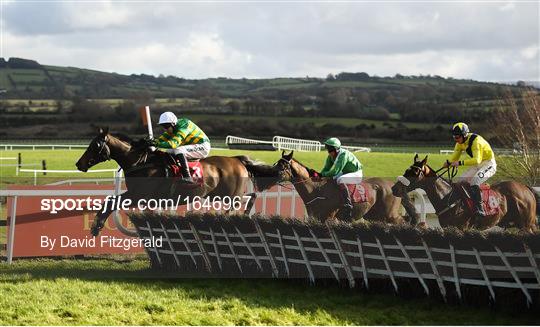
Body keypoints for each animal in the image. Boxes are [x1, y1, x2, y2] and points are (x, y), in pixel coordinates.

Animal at [76, 127, 278, 237]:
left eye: (95, 145)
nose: (79, 164)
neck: (141, 162)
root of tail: (237, 159)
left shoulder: (140, 195)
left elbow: (113, 202)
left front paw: (96, 226)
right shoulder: (136, 194)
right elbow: (111, 201)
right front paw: (96, 225)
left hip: (230, 194)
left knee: (244, 200)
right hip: (218, 194)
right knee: (250, 196)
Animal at [272, 152, 408, 224]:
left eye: (283, 166)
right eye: (276, 163)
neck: (316, 189)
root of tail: (392, 185)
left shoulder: (329, 218)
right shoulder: (315, 217)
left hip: (390, 215)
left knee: (404, 221)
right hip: (374, 216)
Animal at [390, 155, 536, 232]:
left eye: (414, 172)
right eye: (406, 170)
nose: (394, 189)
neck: (447, 197)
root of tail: (526, 188)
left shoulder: (462, 228)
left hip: (526, 225)